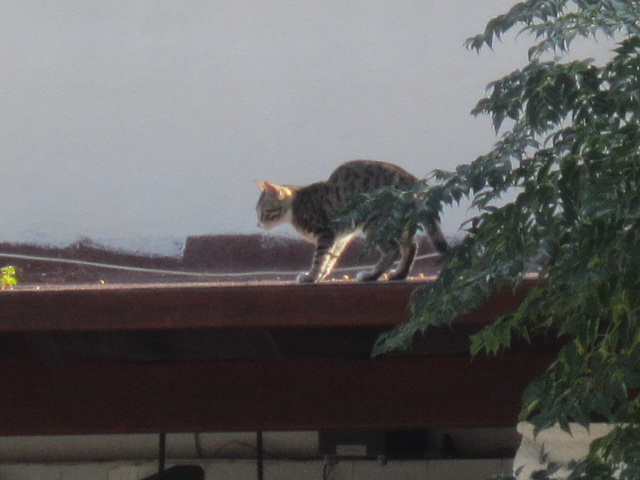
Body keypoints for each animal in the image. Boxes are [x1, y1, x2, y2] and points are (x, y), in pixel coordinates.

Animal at [254, 159, 444, 284]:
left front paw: (311, 276)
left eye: (263, 212)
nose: (258, 224)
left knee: (393, 249)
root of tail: (411, 179)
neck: (296, 203)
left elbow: (319, 258)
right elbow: (331, 258)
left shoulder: (326, 231)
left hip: (373, 220)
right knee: (411, 246)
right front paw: (321, 274)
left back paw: (371, 275)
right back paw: (399, 274)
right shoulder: (339, 236)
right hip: (396, 222)